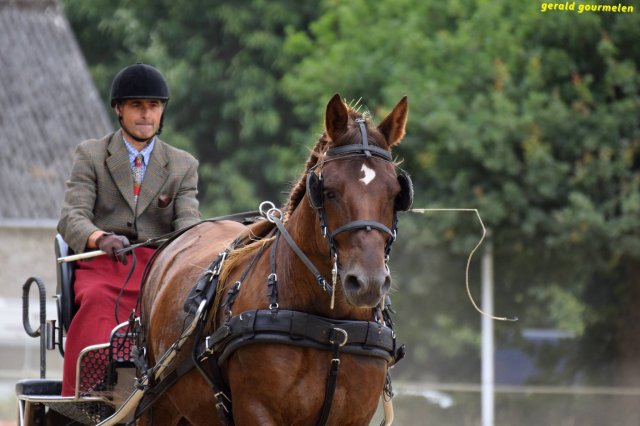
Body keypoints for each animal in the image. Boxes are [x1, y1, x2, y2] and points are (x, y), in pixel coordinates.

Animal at [138, 94, 411, 425]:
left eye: (396, 193)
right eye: (329, 191)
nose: (368, 282)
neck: (332, 328)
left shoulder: (355, 417)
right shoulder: (257, 411)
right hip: (157, 405)